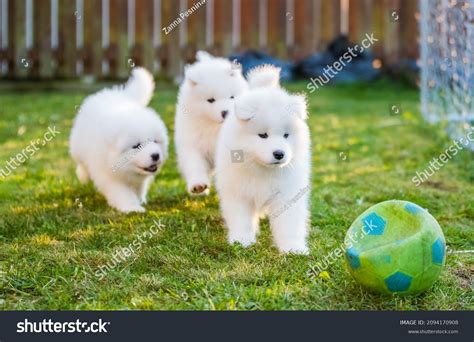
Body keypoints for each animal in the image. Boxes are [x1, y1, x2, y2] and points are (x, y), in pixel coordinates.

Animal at [68, 67, 168, 212]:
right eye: (136, 146)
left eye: (154, 141)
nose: (155, 155)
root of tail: (116, 93)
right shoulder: (109, 177)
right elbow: (123, 193)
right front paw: (132, 208)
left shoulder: (139, 179)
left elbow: (138, 188)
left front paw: (140, 199)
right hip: (78, 146)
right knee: (81, 162)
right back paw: (83, 175)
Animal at [174, 50, 248, 195]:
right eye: (211, 100)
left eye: (232, 97)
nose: (225, 112)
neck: (215, 128)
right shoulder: (192, 144)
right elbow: (194, 163)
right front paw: (198, 185)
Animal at [215, 66, 312, 254]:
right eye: (263, 135)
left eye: (286, 135)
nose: (279, 153)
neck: (262, 169)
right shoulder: (239, 193)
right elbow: (241, 220)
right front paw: (242, 241)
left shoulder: (288, 195)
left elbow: (289, 223)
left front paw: (293, 248)